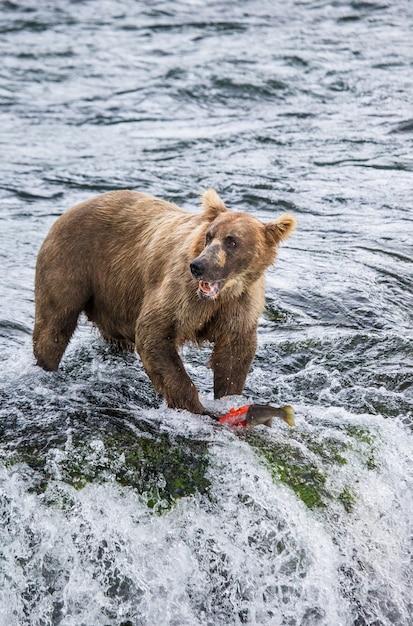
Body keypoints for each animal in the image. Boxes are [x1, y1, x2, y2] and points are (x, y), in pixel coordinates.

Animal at [33, 190, 294, 414]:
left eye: (232, 241)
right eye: (209, 236)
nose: (198, 266)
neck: (223, 294)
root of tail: (71, 209)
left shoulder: (239, 306)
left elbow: (233, 354)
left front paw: (228, 398)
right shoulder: (180, 293)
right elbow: (155, 334)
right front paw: (194, 407)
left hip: (112, 298)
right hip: (72, 263)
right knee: (54, 325)